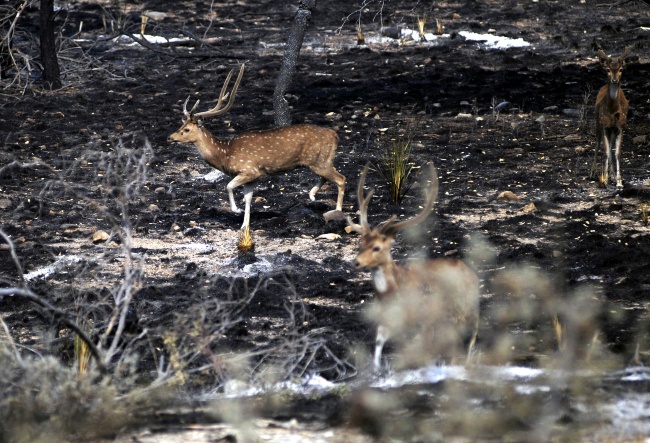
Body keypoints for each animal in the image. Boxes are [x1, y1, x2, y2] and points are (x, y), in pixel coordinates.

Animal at [168, 64, 346, 230]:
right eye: (181, 125)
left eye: (187, 129)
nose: (170, 137)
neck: (225, 154)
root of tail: (335, 135)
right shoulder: (253, 177)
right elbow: (248, 198)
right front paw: (244, 226)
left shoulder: (249, 169)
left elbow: (229, 186)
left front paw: (236, 210)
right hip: (321, 161)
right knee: (330, 176)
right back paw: (312, 195)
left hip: (319, 160)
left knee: (341, 178)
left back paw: (337, 211)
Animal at [347, 163, 479, 371]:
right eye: (360, 244)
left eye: (377, 247)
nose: (356, 262)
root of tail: (470, 271)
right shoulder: (391, 318)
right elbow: (380, 340)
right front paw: (377, 369)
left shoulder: (426, 319)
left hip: (468, 310)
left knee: (470, 338)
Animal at [594, 47, 632, 189]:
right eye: (608, 69)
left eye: (621, 69)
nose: (614, 80)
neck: (613, 111)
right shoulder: (604, 125)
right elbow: (605, 152)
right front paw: (603, 180)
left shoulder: (620, 126)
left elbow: (617, 153)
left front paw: (619, 181)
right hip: (597, 123)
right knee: (597, 144)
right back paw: (593, 172)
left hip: (612, 130)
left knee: (610, 148)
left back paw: (612, 175)